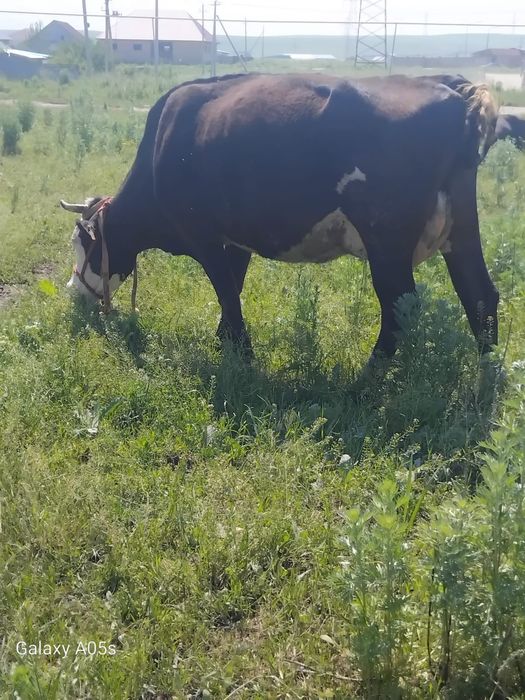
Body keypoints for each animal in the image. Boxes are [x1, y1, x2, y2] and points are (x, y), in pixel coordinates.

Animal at [61, 72, 499, 362]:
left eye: (83, 244)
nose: (73, 293)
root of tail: (452, 91)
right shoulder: (234, 239)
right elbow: (233, 288)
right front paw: (225, 341)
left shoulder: (203, 237)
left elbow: (225, 290)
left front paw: (241, 351)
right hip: (461, 230)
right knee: (479, 293)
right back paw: (487, 376)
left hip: (386, 241)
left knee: (398, 305)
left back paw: (367, 380)